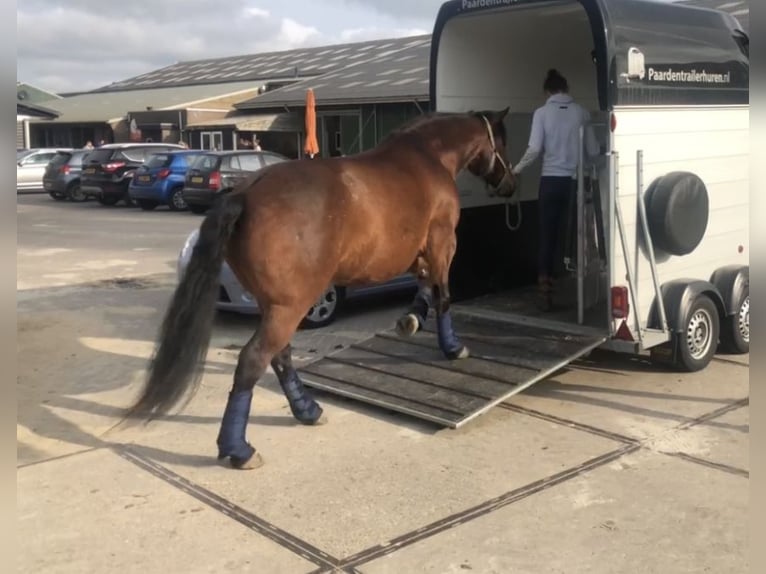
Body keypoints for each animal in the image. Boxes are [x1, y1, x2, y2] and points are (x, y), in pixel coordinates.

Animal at [129, 107, 520, 468]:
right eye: (501, 141)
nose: (509, 185)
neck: (427, 156)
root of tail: (245, 193)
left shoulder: (417, 255)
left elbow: (424, 286)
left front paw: (411, 319)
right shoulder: (442, 244)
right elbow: (443, 296)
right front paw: (452, 347)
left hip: (276, 306)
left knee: (280, 355)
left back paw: (307, 410)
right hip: (291, 306)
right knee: (255, 359)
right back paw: (239, 449)